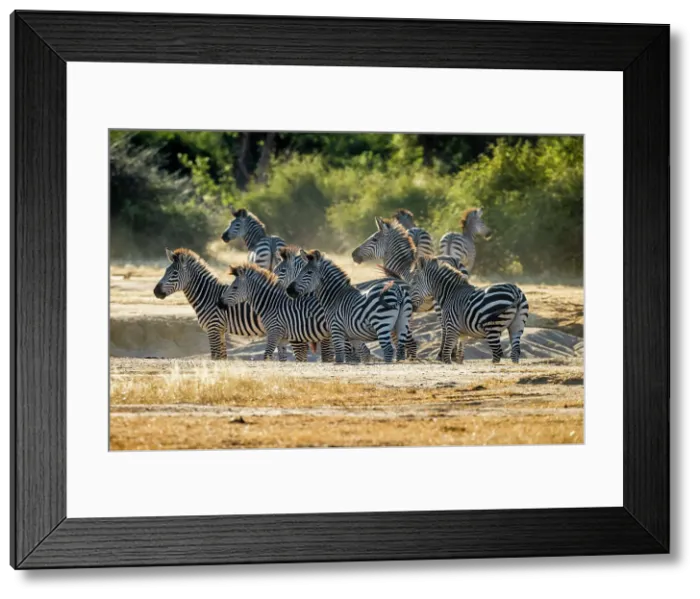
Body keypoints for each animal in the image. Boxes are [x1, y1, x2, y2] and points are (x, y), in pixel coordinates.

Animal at [152, 247, 309, 361]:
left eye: (174, 273)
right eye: (165, 271)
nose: (155, 291)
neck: (207, 296)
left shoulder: (214, 329)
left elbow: (215, 357)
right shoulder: (220, 331)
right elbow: (222, 357)